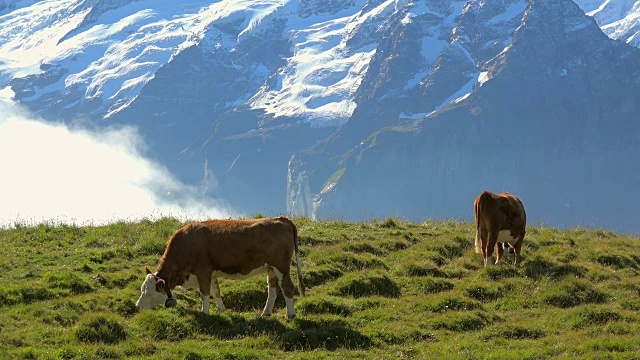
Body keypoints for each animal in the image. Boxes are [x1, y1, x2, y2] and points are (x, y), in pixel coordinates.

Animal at [134, 217, 304, 318]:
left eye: (150, 293)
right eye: (142, 290)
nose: (137, 306)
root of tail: (281, 219)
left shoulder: (203, 271)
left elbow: (204, 294)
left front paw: (204, 313)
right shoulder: (211, 274)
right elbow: (215, 292)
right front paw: (222, 310)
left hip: (281, 266)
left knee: (287, 287)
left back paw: (291, 315)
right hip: (271, 268)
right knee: (273, 289)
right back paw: (266, 313)